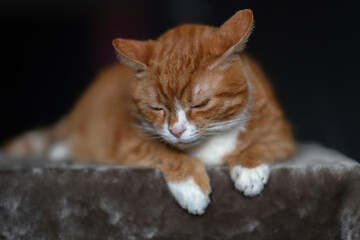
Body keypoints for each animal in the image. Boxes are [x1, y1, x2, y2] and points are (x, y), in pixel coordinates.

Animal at [2, 9, 296, 215]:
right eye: (156, 108)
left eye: (200, 104)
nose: (176, 130)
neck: (209, 143)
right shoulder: (129, 142)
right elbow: (169, 154)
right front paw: (192, 188)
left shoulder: (282, 139)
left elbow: (258, 146)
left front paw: (249, 169)